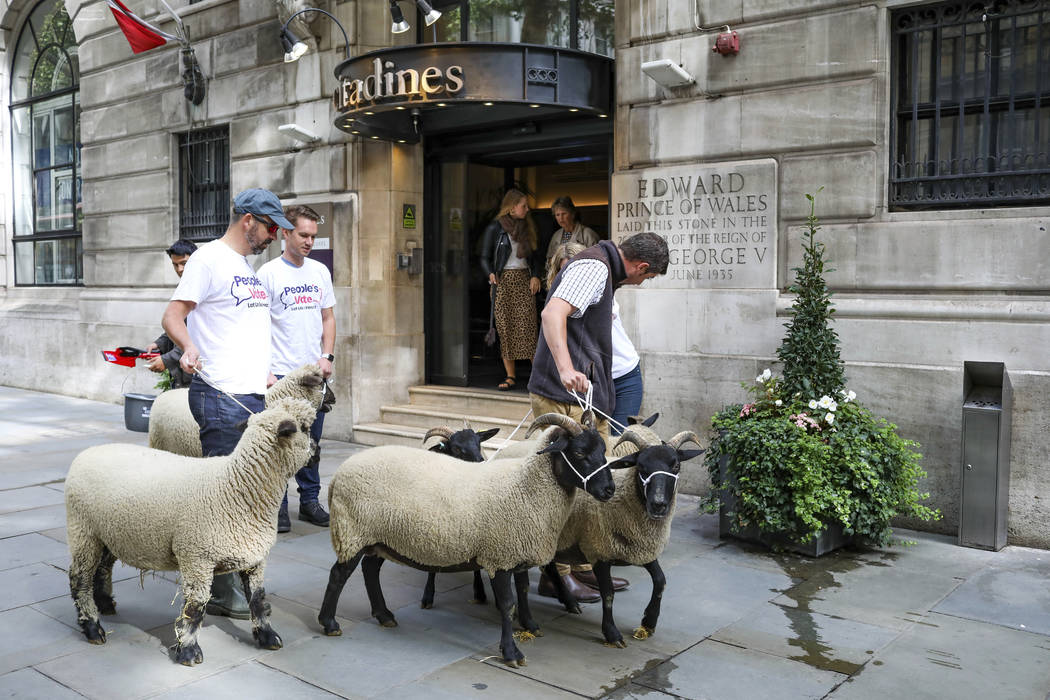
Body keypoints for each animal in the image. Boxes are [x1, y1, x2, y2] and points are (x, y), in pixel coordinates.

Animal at [65, 396, 317, 667]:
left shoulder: (254, 557)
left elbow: (258, 599)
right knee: (79, 578)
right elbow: (195, 606)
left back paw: (104, 604)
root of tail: (87, 452)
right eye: (304, 428)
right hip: (83, 530)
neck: (237, 486)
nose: (317, 452)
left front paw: (268, 637)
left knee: (102, 567)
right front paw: (188, 651)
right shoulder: (196, 557)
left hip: (111, 533)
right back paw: (93, 628)